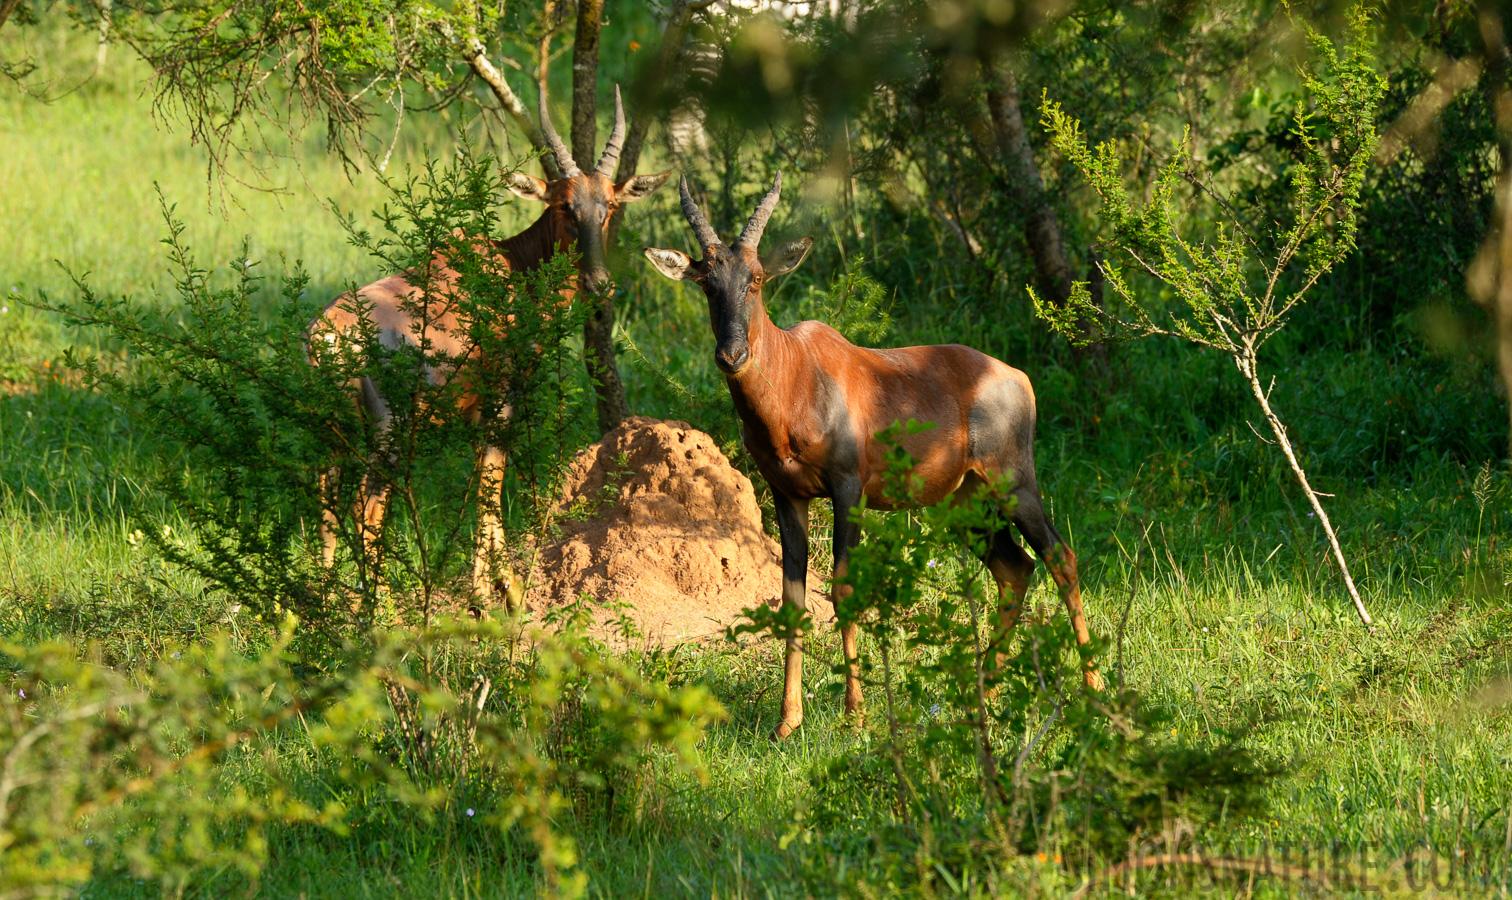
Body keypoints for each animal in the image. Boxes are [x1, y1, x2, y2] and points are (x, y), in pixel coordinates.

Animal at [309, 86, 671, 614]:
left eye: (608, 203)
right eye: (563, 205)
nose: (598, 284)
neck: (509, 264)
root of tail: (331, 331)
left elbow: (483, 476)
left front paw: (505, 588)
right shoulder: (502, 397)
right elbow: (491, 479)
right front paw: (496, 593)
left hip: (332, 430)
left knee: (327, 498)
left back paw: (321, 603)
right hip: (389, 430)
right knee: (366, 505)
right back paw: (381, 610)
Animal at [644, 173, 1106, 738]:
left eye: (756, 278)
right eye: (706, 281)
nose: (732, 356)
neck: (801, 372)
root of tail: (1015, 377)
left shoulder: (848, 490)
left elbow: (844, 589)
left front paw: (855, 714)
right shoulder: (788, 496)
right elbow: (792, 600)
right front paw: (787, 722)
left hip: (1013, 484)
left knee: (1061, 557)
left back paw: (1093, 693)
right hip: (963, 504)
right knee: (1015, 569)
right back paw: (984, 695)